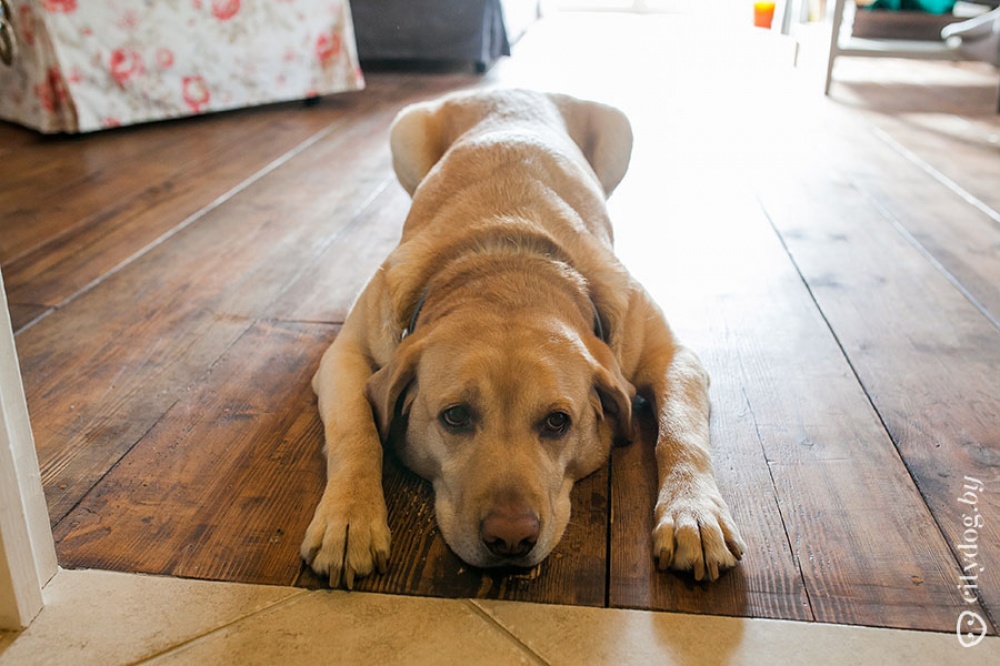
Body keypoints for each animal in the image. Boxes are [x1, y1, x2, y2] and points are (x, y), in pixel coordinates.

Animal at [300, 87, 748, 588]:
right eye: (455, 416)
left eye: (557, 422)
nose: (511, 537)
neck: (508, 259)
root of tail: (506, 90)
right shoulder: (344, 355)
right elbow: (356, 429)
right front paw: (349, 519)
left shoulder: (672, 356)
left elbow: (681, 432)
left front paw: (694, 513)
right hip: (405, 133)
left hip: (619, 132)